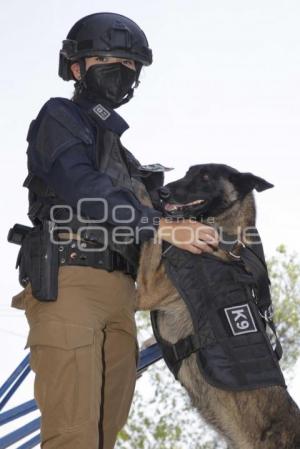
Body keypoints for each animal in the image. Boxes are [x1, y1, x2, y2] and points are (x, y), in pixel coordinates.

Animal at [137, 164, 300, 448]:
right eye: (187, 172)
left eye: (204, 177)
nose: (163, 191)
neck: (224, 238)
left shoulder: (149, 288)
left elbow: (153, 236)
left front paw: (139, 190)